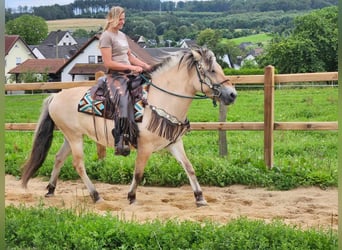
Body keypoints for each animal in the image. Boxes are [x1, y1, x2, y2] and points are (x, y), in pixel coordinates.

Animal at [20, 47, 236, 207]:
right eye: (212, 70)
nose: (232, 94)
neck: (160, 99)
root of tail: (55, 96)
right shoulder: (145, 147)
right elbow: (138, 173)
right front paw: (131, 197)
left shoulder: (174, 143)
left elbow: (189, 168)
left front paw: (200, 197)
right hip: (74, 137)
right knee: (78, 164)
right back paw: (96, 195)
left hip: (70, 136)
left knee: (58, 158)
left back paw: (51, 189)